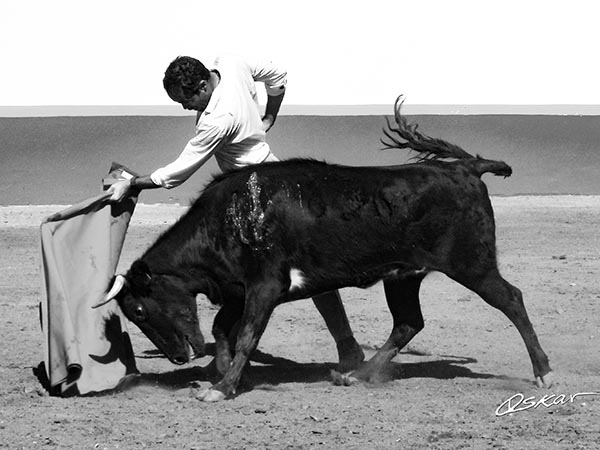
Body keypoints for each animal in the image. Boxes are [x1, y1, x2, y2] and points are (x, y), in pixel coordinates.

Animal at [98, 97, 552, 400]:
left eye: (138, 309)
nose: (177, 358)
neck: (227, 219)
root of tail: (464, 168)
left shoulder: (265, 287)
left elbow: (245, 335)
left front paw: (222, 387)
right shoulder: (239, 290)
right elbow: (223, 331)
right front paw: (225, 376)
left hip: (471, 263)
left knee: (511, 299)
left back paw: (544, 372)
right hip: (404, 275)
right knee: (408, 322)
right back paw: (358, 374)